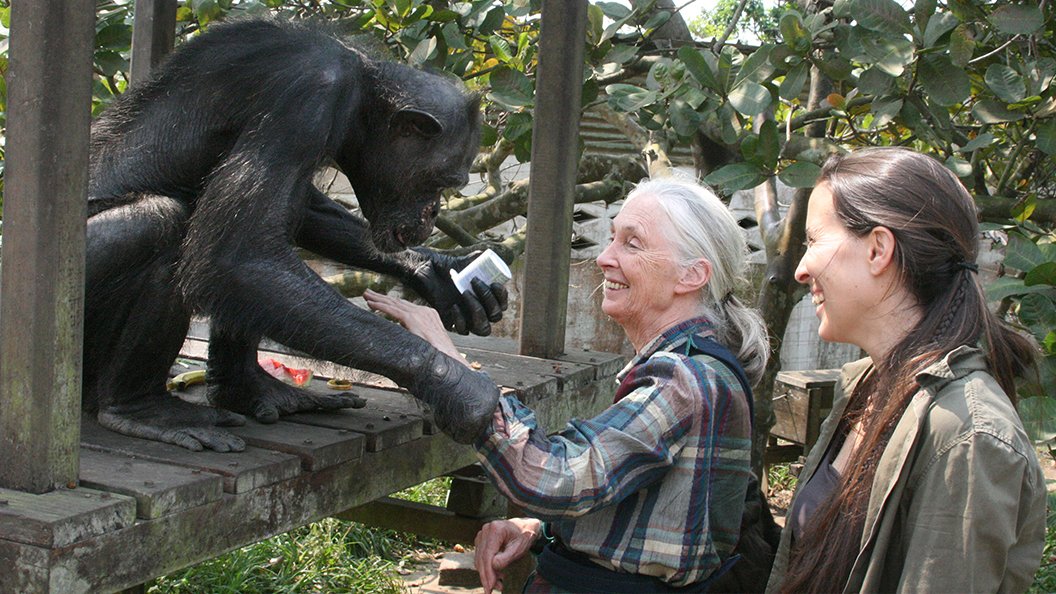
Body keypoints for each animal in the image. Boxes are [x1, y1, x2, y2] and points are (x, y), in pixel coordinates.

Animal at [84, 16, 504, 448]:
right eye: (441, 181)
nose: (435, 210)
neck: (362, 92)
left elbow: (293, 217)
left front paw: (437, 273)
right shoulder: (307, 98)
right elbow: (240, 255)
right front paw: (457, 387)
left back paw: (252, 388)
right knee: (159, 221)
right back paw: (141, 407)